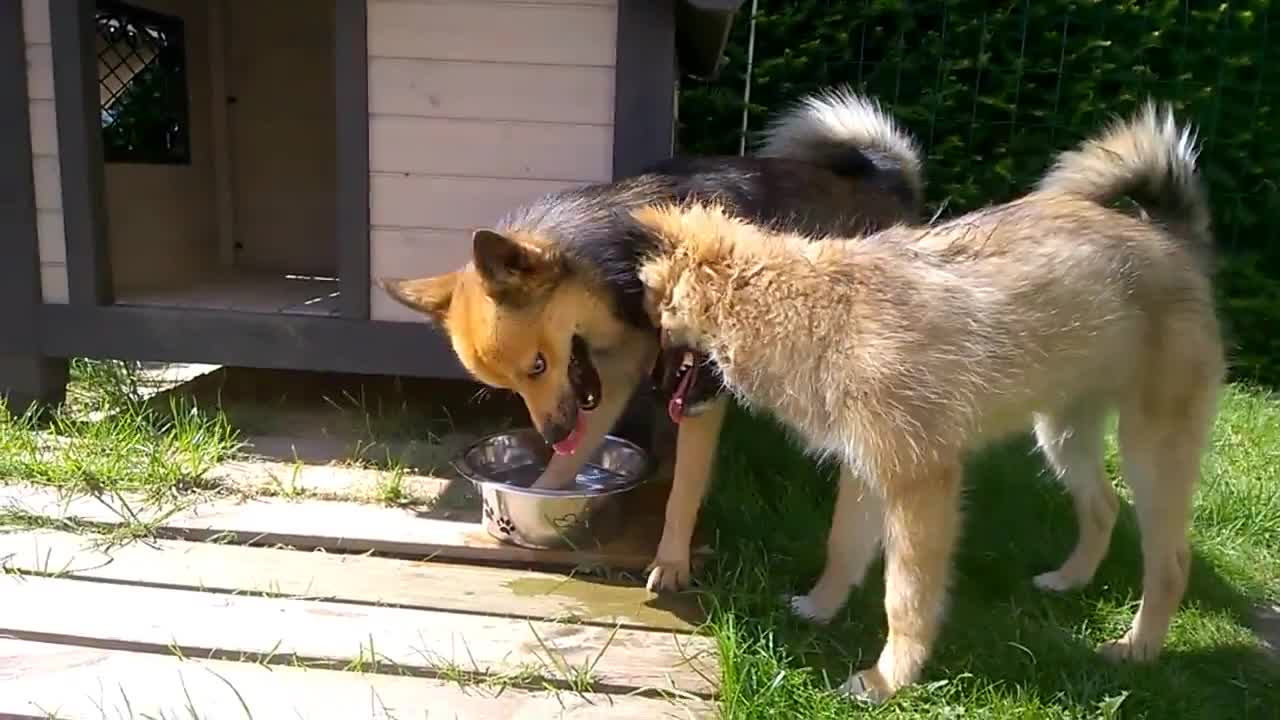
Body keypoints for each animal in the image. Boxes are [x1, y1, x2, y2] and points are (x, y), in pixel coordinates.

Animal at [376, 88, 921, 589]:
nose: (550, 434)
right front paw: (546, 492)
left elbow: (682, 490)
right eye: (512, 385)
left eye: (537, 365)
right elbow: (570, 459)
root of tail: (888, 185)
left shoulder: (697, 393)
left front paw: (672, 562)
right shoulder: (611, 382)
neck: (627, 266)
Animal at [634, 105, 1223, 702]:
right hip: (1062, 432)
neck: (809, 307)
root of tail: (1169, 236)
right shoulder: (866, 469)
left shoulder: (920, 485)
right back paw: (1068, 580)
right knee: (1102, 505)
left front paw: (887, 680)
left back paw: (1138, 648)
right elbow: (842, 544)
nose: (651, 393)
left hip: (1151, 452)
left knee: (1171, 560)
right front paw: (820, 609)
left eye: (658, 321)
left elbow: (905, 600)